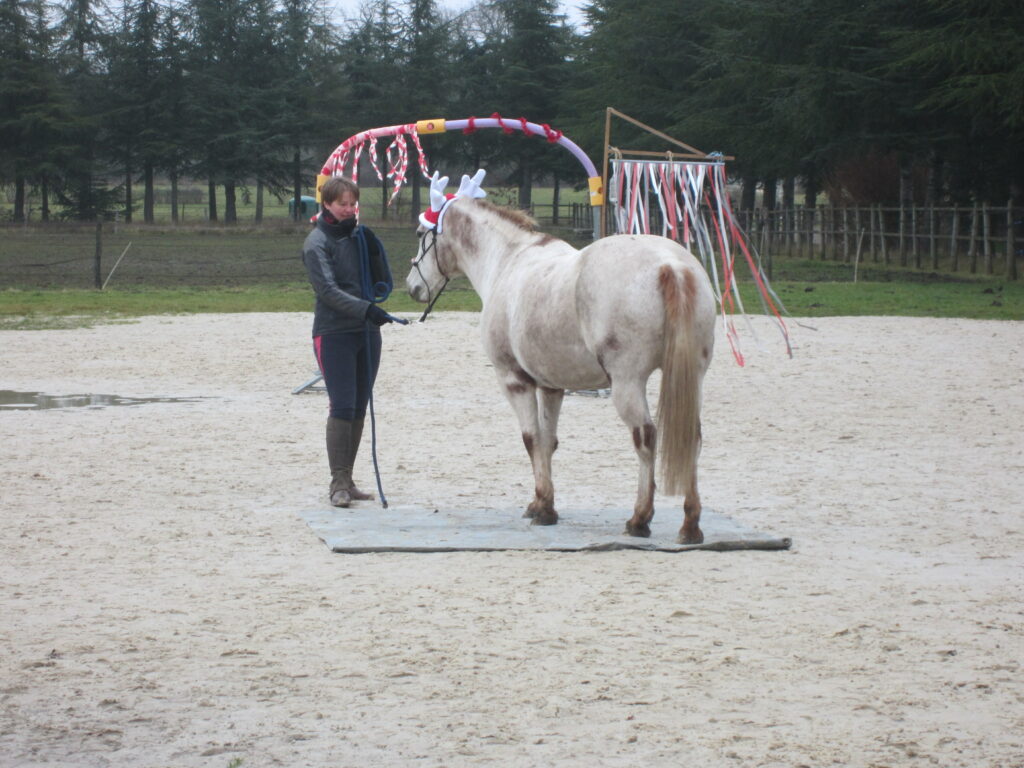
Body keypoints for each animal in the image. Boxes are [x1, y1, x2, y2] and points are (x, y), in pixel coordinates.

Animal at [403, 171, 716, 544]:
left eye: (421, 234)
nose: (412, 286)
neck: (508, 260)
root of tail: (671, 264)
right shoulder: (552, 386)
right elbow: (548, 441)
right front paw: (542, 504)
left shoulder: (514, 380)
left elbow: (531, 439)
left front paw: (543, 507)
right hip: (693, 377)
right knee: (692, 439)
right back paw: (690, 524)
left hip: (627, 383)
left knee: (645, 438)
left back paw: (640, 518)